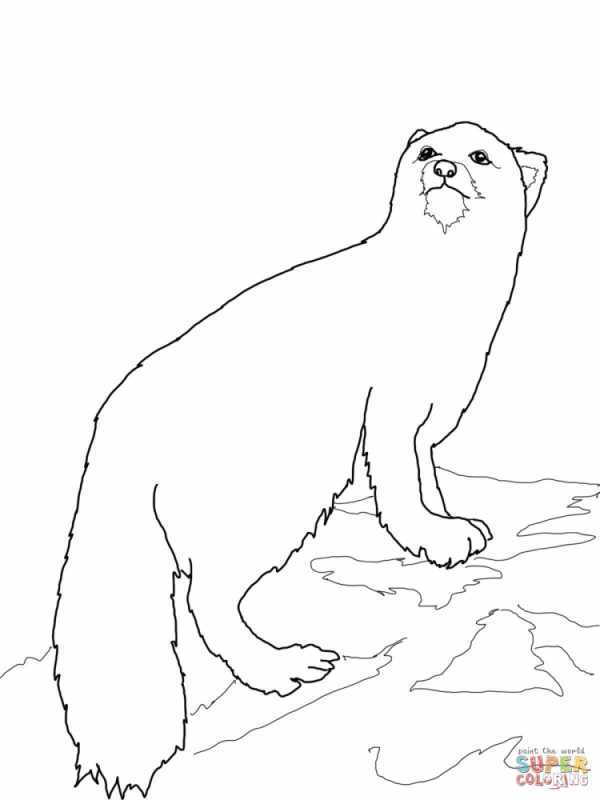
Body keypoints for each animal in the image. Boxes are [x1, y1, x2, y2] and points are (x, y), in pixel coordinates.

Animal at [53, 121, 547, 796]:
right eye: (425, 152)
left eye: (479, 154)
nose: (443, 168)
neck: (437, 300)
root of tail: (116, 431)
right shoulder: (391, 404)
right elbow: (399, 484)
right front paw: (435, 540)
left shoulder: (430, 414)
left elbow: (424, 478)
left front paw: (456, 526)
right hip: (259, 503)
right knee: (206, 600)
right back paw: (283, 666)